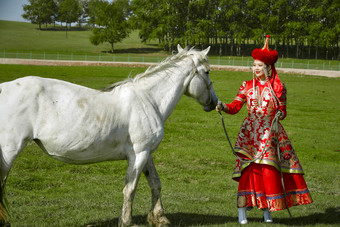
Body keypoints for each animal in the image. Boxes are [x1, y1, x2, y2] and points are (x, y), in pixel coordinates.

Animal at [0, 45, 218, 226]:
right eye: (207, 72)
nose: (214, 103)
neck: (148, 100)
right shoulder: (139, 155)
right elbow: (130, 189)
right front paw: (126, 221)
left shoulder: (146, 153)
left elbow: (155, 183)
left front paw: (159, 218)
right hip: (9, 150)